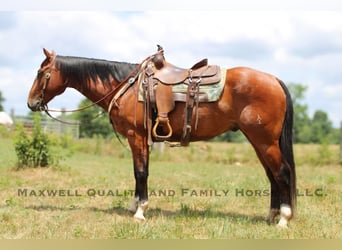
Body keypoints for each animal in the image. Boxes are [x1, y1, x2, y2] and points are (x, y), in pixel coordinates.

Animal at [26, 47, 296, 228]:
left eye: (41, 72)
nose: (31, 103)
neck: (125, 86)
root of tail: (274, 80)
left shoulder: (136, 137)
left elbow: (141, 172)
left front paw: (140, 211)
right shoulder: (138, 139)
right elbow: (137, 172)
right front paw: (134, 205)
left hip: (264, 141)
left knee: (281, 173)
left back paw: (283, 219)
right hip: (258, 141)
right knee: (271, 175)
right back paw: (271, 216)